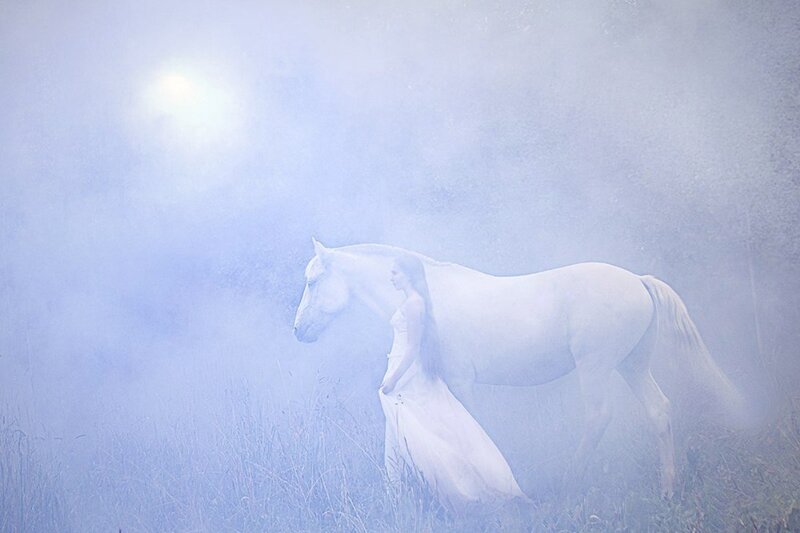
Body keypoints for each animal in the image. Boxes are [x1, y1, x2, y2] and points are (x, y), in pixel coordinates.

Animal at [292, 239, 743, 498]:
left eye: (313, 282)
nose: (299, 331)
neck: (427, 296)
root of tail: (637, 280)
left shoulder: (461, 382)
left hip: (596, 368)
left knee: (599, 416)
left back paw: (567, 483)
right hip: (632, 366)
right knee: (659, 410)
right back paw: (667, 489)